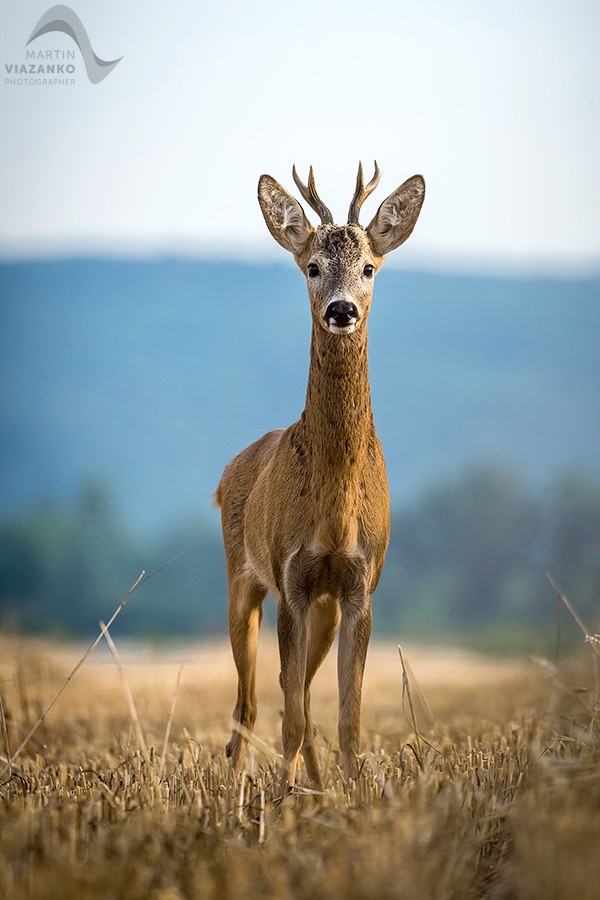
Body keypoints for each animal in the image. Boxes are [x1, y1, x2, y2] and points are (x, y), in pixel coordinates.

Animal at [213, 162, 424, 788]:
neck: (334, 512)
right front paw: (283, 799)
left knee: (297, 693)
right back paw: (236, 793)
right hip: (242, 579)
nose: (341, 310)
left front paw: (350, 793)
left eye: (369, 267)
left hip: (323, 611)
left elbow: (347, 718)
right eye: (311, 266)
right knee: (250, 704)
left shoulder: (359, 585)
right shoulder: (292, 580)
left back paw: (314, 782)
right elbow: (288, 715)